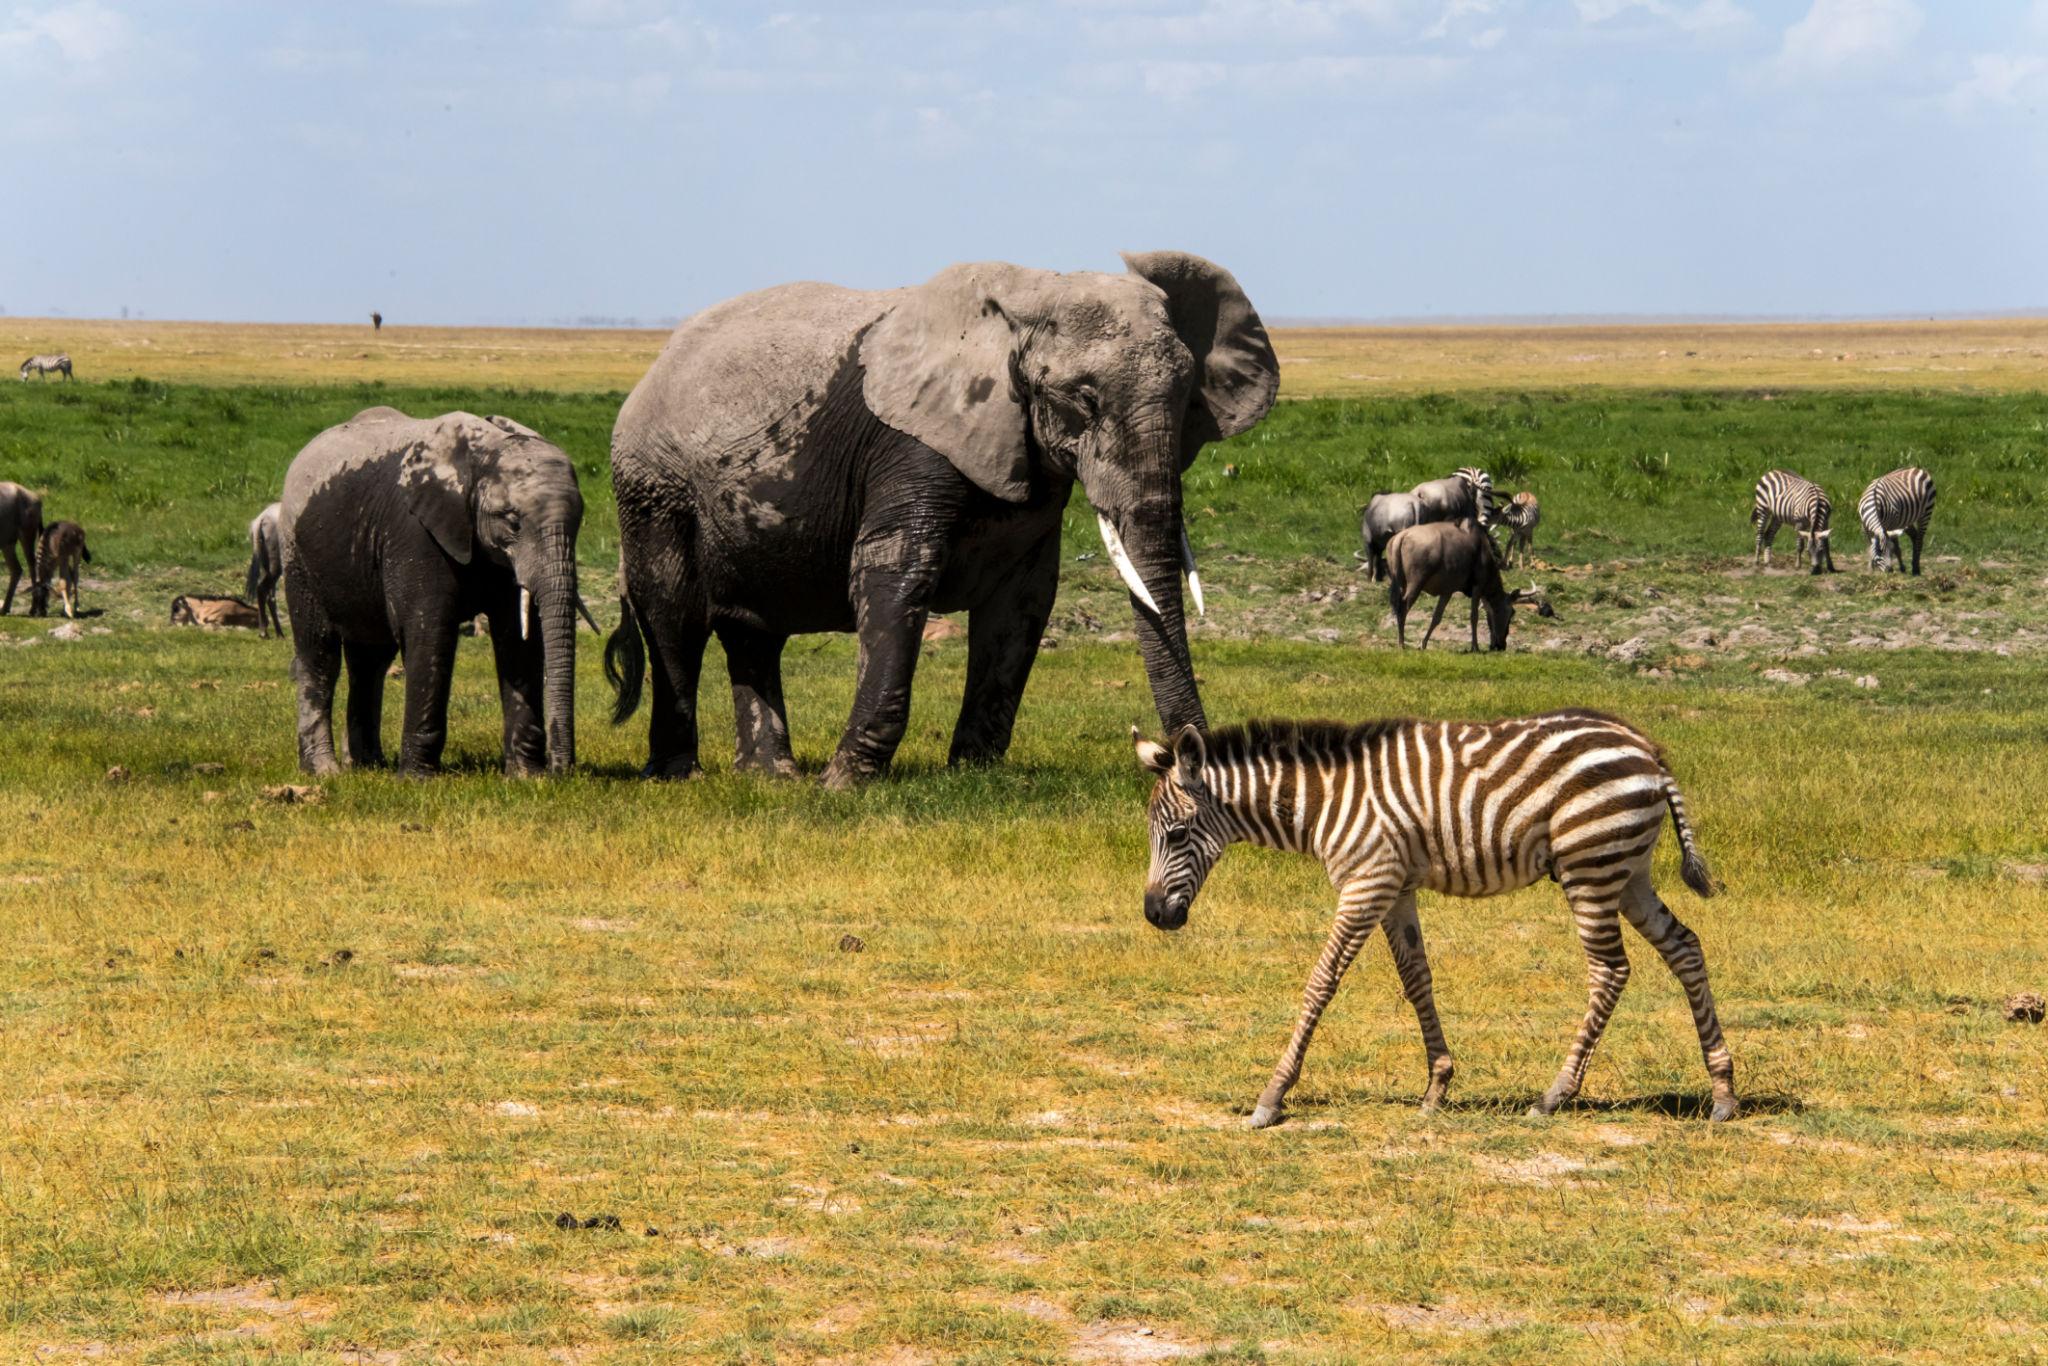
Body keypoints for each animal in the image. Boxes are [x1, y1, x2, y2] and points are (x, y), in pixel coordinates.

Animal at [280, 406, 585, 777]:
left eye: (580, 521)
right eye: (512, 521)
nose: (562, 769)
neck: (484, 454)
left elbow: (518, 639)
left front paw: (528, 777)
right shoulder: (415, 532)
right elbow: (431, 629)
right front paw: (417, 779)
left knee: (370, 661)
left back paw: (368, 766)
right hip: (297, 557)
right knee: (319, 654)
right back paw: (325, 771)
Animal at [605, 250, 1280, 787]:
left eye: (1188, 399)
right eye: (1082, 399)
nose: (1172, 757)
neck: (1030, 298)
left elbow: (1023, 602)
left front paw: (975, 774)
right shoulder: (911, 446)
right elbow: (896, 574)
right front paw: (844, 785)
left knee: (754, 632)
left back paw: (771, 777)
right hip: (654, 488)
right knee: (675, 618)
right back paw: (682, 776)